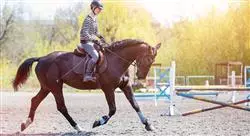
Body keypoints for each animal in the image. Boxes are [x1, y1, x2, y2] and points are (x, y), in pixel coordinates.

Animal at [12, 38, 161, 132]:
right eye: (148, 58)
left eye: (153, 60)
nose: (141, 76)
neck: (117, 60)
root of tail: (42, 58)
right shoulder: (108, 89)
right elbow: (113, 109)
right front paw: (98, 122)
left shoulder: (125, 86)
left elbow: (135, 105)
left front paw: (148, 124)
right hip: (55, 87)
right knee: (61, 107)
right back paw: (78, 128)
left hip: (46, 87)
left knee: (35, 101)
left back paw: (26, 124)